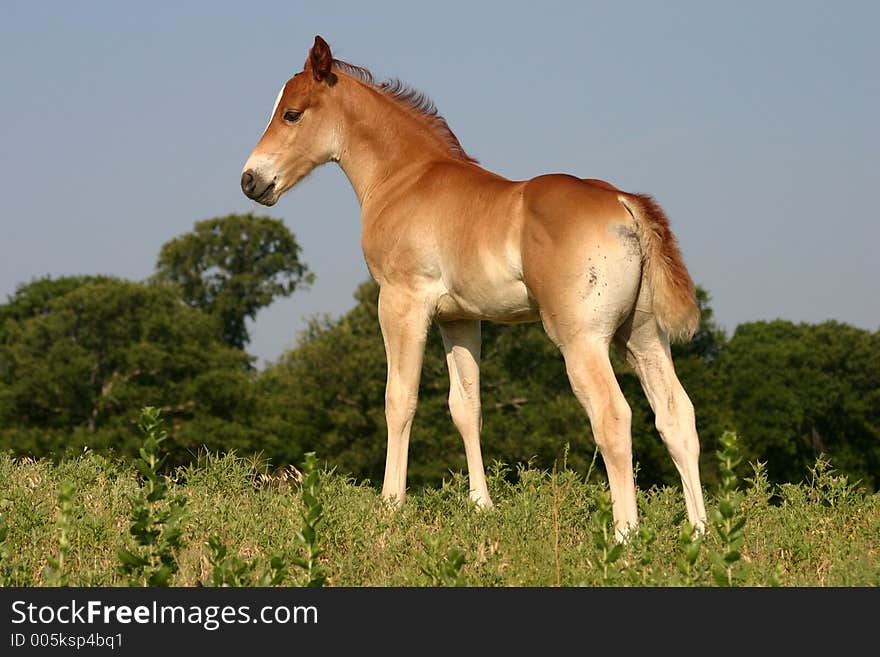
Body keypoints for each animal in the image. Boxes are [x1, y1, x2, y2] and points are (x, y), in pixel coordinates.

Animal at [239, 36, 708, 536]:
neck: (405, 178)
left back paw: (624, 535)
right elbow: (467, 407)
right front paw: (482, 505)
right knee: (677, 416)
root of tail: (624, 202)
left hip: (582, 340)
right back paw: (700, 533)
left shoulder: (401, 303)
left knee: (613, 416)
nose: (250, 180)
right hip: (641, 337)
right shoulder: (460, 319)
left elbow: (399, 399)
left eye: (291, 113)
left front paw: (390, 504)